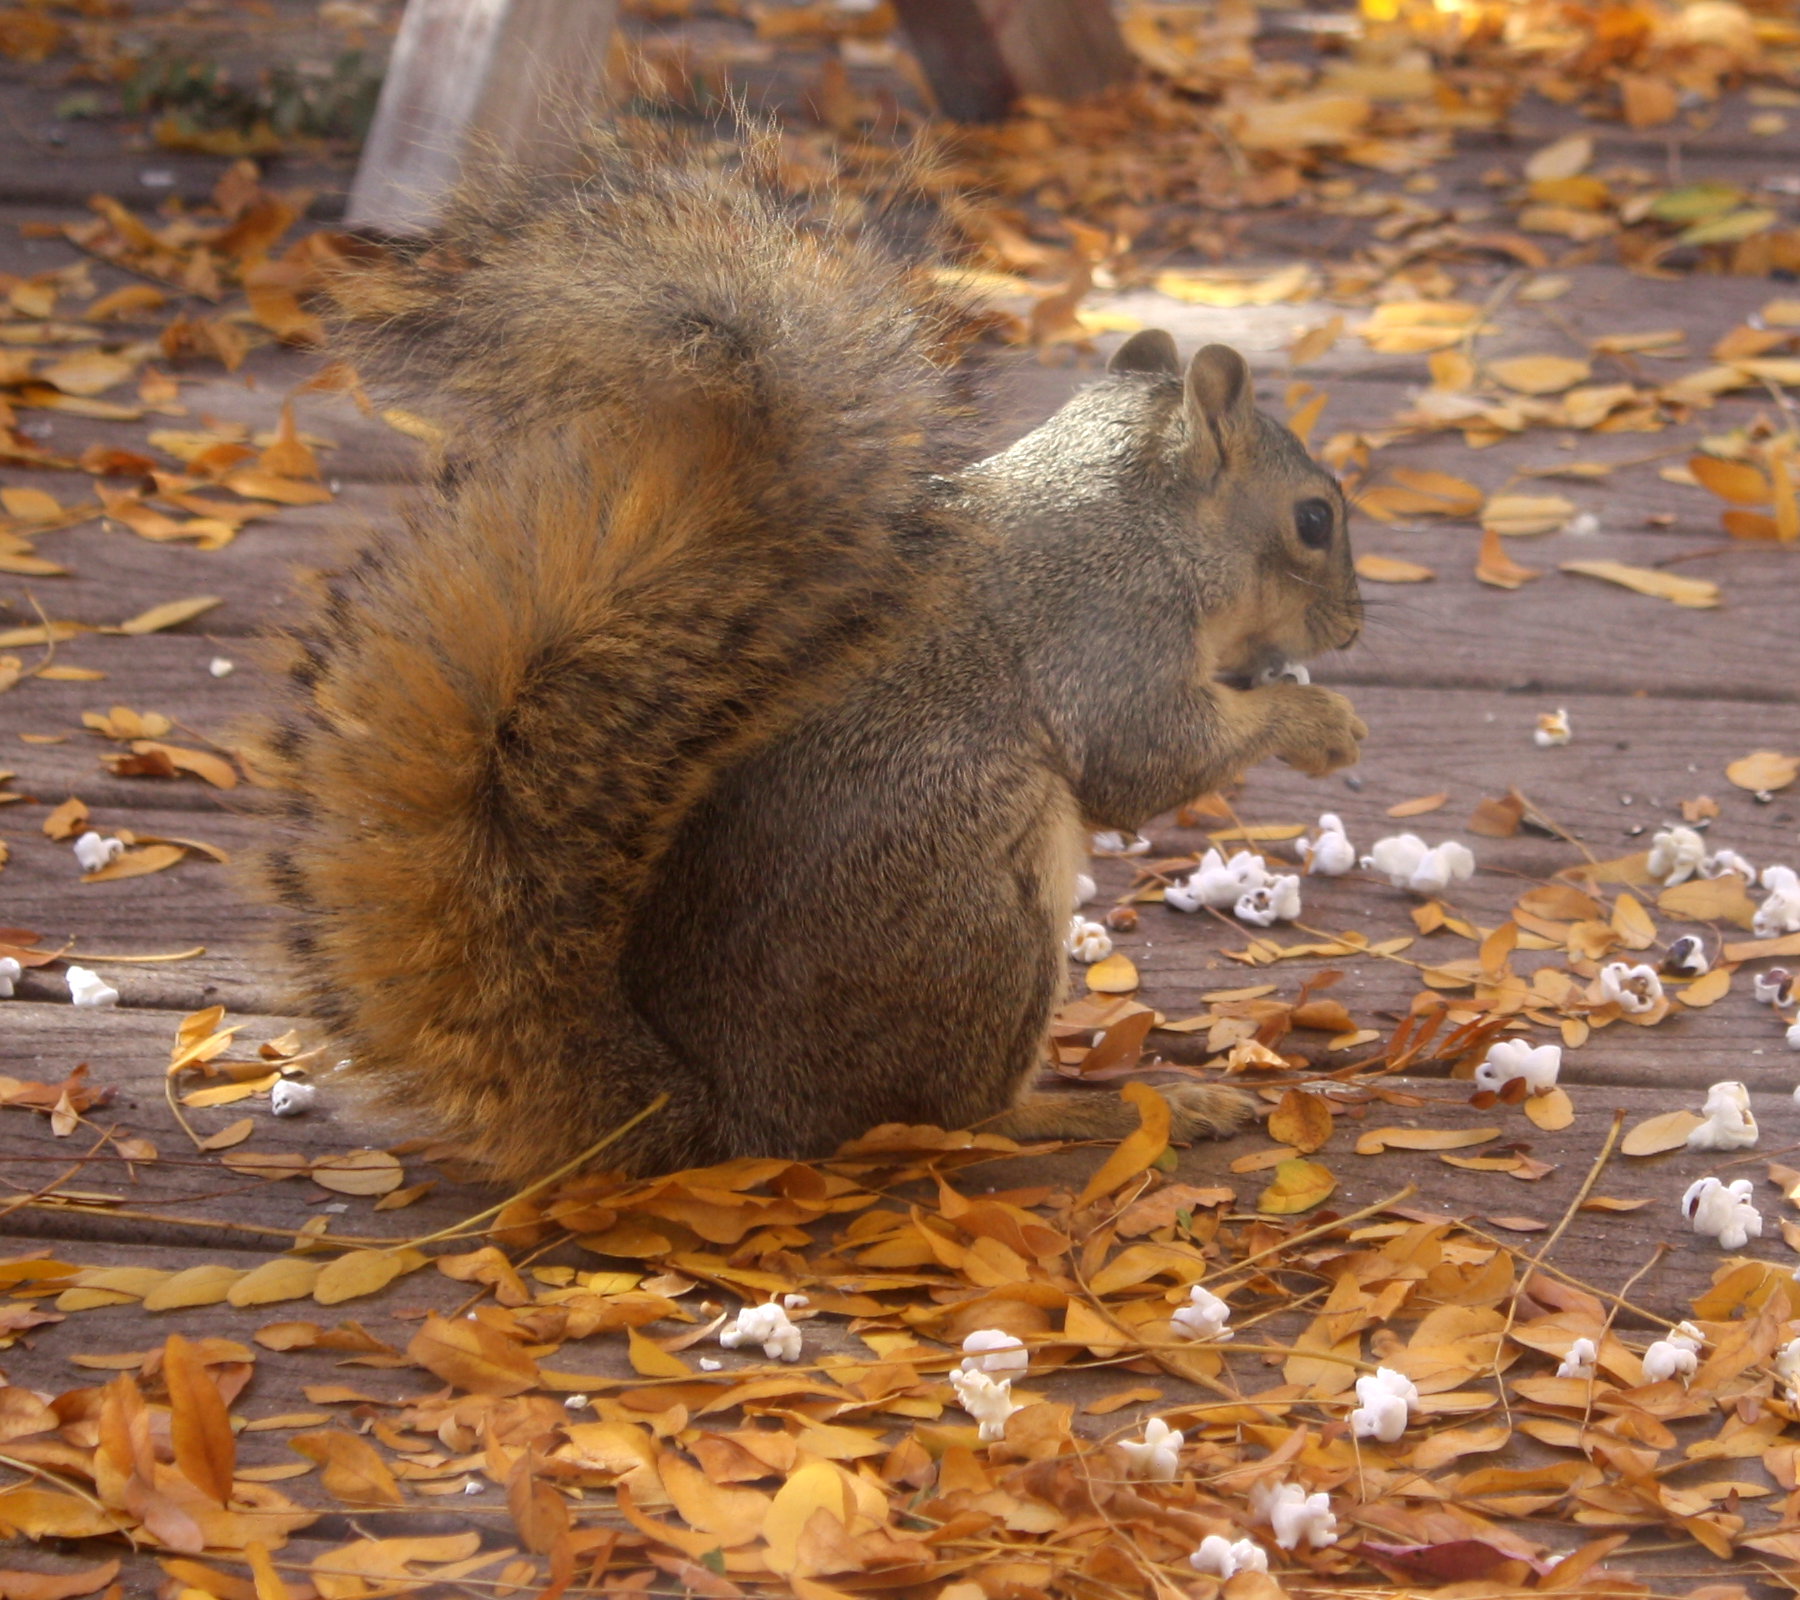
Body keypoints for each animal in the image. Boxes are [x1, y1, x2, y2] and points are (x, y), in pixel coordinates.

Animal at [261, 125, 1360, 1180]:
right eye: (1312, 518)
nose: (1352, 627)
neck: (1150, 520)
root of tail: (736, 1116)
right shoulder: (1112, 628)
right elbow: (1148, 760)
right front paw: (1320, 722)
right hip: (974, 911)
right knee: (956, 1116)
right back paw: (1115, 1105)